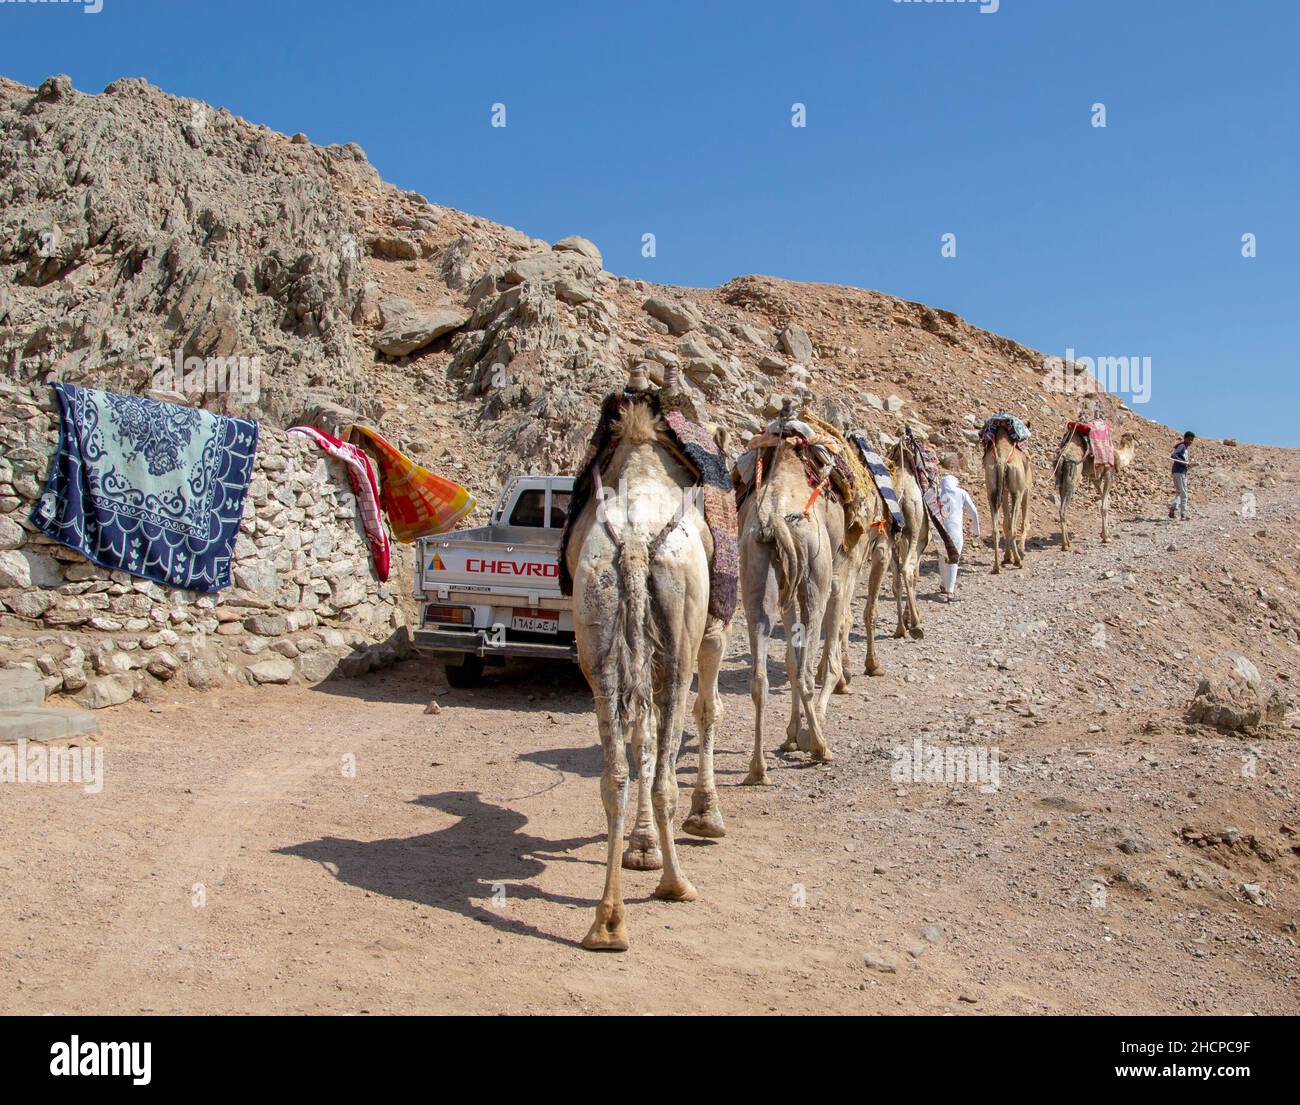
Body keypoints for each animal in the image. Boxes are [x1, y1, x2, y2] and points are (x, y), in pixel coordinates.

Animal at [569, 374, 733, 941]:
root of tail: (638, 543)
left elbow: (640, 736)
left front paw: (640, 847)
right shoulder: (711, 631)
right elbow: (708, 713)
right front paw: (708, 817)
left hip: (596, 635)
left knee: (615, 772)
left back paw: (607, 921)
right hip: (681, 643)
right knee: (664, 775)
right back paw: (675, 884)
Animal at [977, 426, 1029, 572]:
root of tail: (1001, 461)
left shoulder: (1004, 492)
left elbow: (1005, 523)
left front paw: (1006, 557)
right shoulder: (1026, 489)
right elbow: (1022, 522)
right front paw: (1018, 553)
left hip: (991, 492)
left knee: (996, 529)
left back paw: (996, 567)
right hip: (1017, 492)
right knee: (1013, 527)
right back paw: (1018, 561)